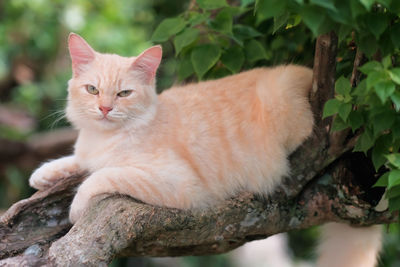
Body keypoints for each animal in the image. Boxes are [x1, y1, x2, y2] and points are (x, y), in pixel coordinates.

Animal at [28, 34, 382, 267]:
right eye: (92, 89)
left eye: (124, 94)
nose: (104, 109)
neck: (106, 136)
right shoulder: (88, 152)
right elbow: (78, 161)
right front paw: (44, 174)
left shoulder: (177, 182)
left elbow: (99, 177)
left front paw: (76, 207)